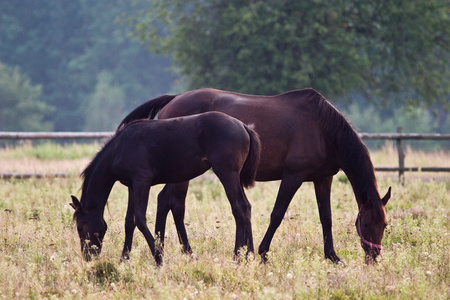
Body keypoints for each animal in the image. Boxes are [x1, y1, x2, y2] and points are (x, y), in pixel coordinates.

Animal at [70, 112, 260, 264]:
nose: (88, 257)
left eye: (80, 228)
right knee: (247, 207)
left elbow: (140, 219)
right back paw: (248, 254)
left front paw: (158, 257)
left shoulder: (142, 181)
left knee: (238, 208)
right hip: (235, 177)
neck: (120, 148)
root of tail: (243, 126)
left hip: (227, 174)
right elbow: (129, 222)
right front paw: (124, 259)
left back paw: (237, 256)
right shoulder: (132, 186)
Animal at [118, 86, 390, 262]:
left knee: (167, 202)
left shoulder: (323, 178)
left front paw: (332, 256)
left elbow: (326, 217)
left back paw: (172, 249)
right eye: (366, 223)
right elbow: (277, 214)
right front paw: (263, 252)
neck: (322, 128)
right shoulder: (293, 176)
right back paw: (175, 250)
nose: (374, 256)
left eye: (385, 224)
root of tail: (173, 100)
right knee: (172, 203)